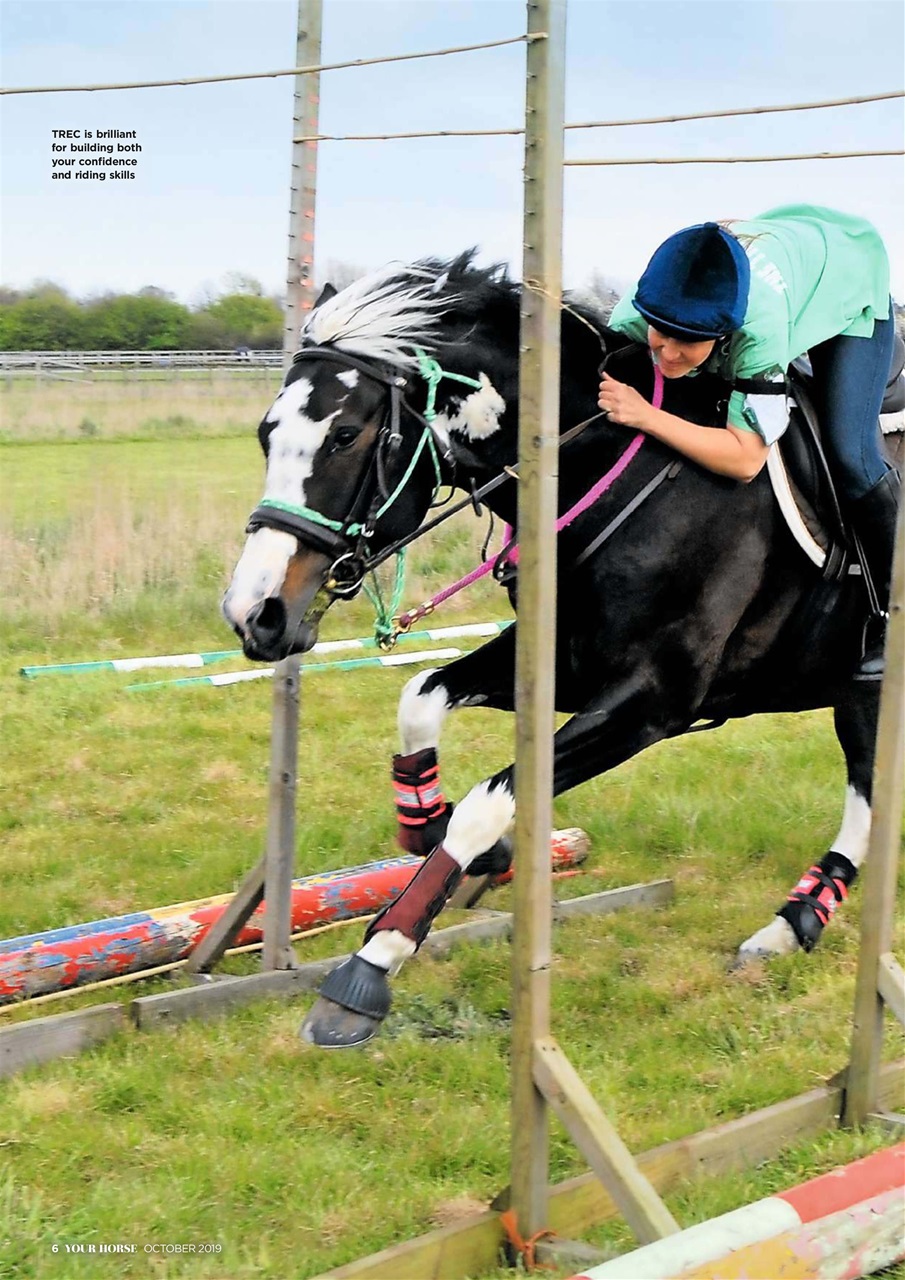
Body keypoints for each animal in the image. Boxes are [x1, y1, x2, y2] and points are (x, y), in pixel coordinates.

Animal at [222, 251, 886, 1049]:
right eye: (265, 434)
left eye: (347, 434)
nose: (254, 614)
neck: (613, 466)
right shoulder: (565, 664)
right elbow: (421, 699)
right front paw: (441, 835)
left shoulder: (648, 703)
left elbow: (488, 803)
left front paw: (369, 968)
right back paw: (793, 923)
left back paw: (798, 921)